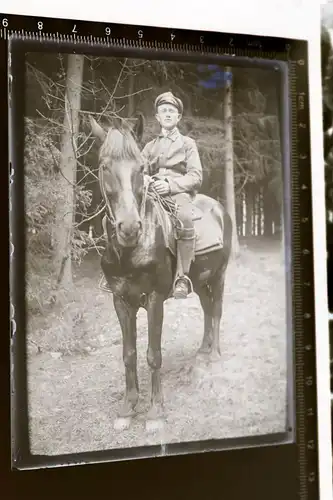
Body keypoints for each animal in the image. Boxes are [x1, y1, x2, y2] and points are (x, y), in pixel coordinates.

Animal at [89, 114, 232, 434]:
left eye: (141, 168)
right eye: (104, 166)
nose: (129, 228)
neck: (131, 250)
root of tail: (219, 208)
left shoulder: (154, 299)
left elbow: (153, 354)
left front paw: (155, 411)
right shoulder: (121, 301)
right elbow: (129, 353)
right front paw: (128, 407)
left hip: (219, 276)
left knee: (217, 310)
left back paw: (216, 355)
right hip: (200, 281)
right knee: (207, 309)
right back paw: (202, 352)